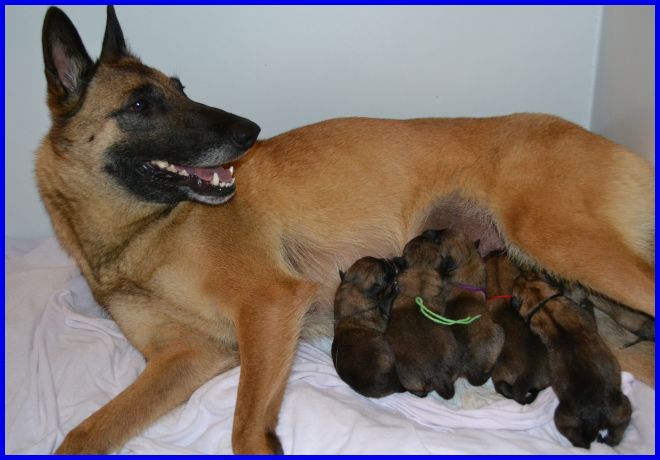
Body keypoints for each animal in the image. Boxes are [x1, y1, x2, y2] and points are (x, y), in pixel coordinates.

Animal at [512, 271, 632, 448]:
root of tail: (593, 416)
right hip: (603, 411)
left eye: (529, 277)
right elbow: (589, 312)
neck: (542, 302)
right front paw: (587, 301)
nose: (519, 275)